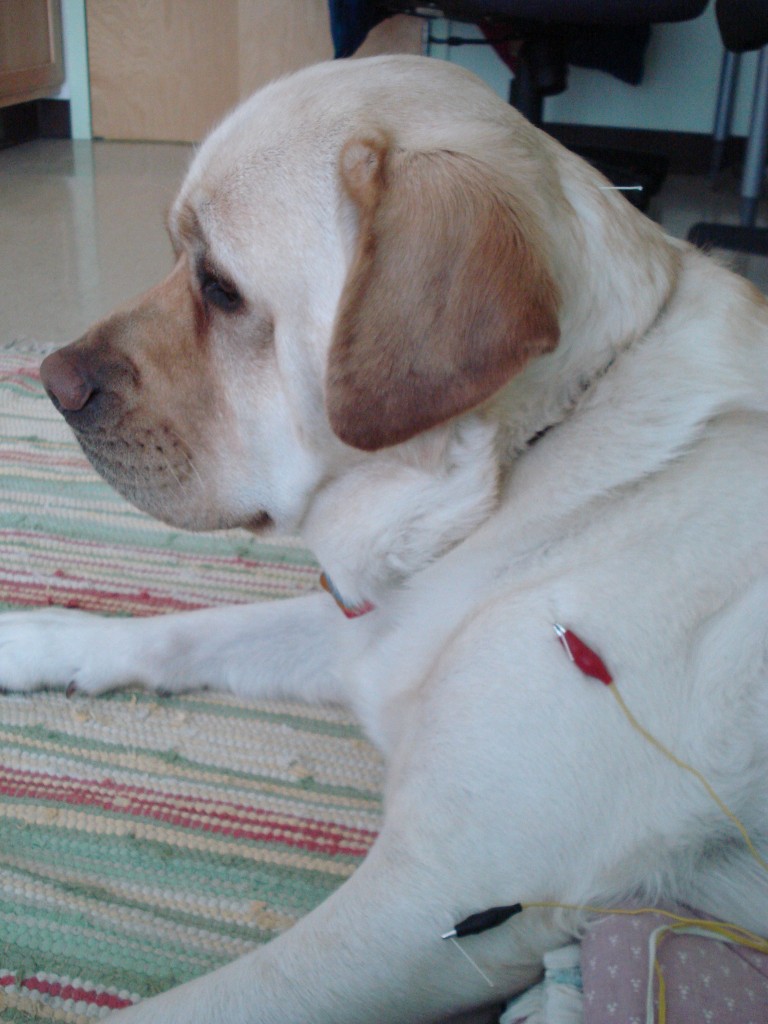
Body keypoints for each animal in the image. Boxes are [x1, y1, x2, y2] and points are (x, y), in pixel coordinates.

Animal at [1, 54, 768, 1024]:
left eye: (220, 288)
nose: (50, 381)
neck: (520, 470)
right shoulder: (376, 638)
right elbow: (192, 629)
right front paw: (37, 640)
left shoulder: (441, 901)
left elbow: (206, 1004)